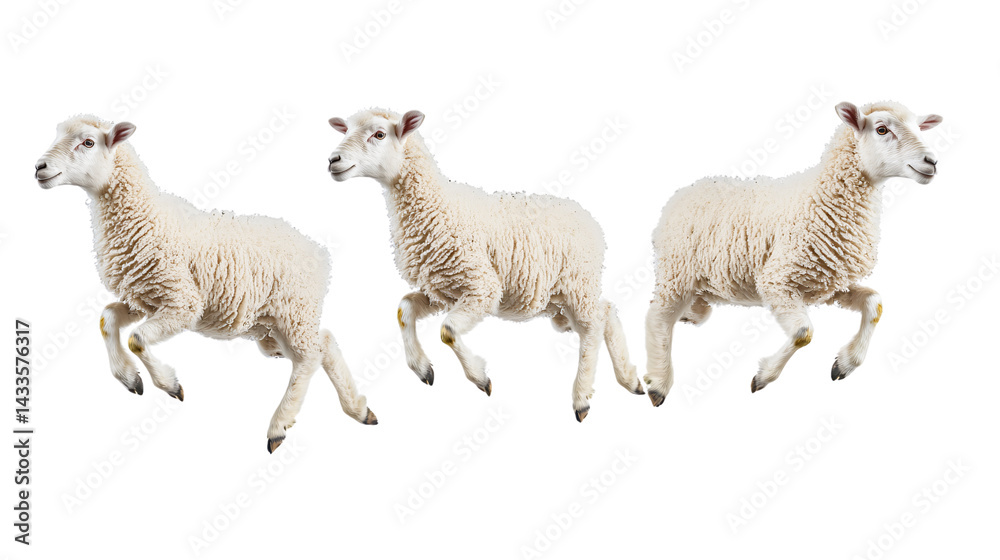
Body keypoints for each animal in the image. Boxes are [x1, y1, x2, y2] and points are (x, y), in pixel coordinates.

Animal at [34, 115, 377, 453]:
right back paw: (359, 410)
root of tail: (319, 252)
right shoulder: (145, 298)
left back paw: (280, 426)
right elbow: (107, 319)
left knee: (308, 359)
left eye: (88, 142)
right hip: (276, 326)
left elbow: (136, 340)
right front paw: (130, 378)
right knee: (324, 344)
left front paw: (170, 385)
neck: (145, 215)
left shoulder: (183, 301)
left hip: (294, 310)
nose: (39, 167)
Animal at [325, 108, 642, 421]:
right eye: (346, 130)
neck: (438, 206)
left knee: (592, 328)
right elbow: (404, 310)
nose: (332, 160)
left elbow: (447, 332)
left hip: (578, 283)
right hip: (563, 300)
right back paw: (630, 380)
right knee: (606, 313)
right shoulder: (441, 290)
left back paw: (582, 398)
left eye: (379, 134)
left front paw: (480, 377)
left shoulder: (482, 287)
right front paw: (422, 368)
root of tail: (591, 220)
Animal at [644, 101, 943, 404]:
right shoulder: (777, 281)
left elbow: (875, 305)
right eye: (882, 129)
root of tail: (679, 195)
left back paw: (692, 315)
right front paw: (764, 376)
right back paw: (658, 382)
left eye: (919, 128)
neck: (821, 198)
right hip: (677, 269)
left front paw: (845, 364)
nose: (932, 162)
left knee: (695, 306)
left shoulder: (829, 284)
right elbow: (803, 334)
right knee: (657, 316)